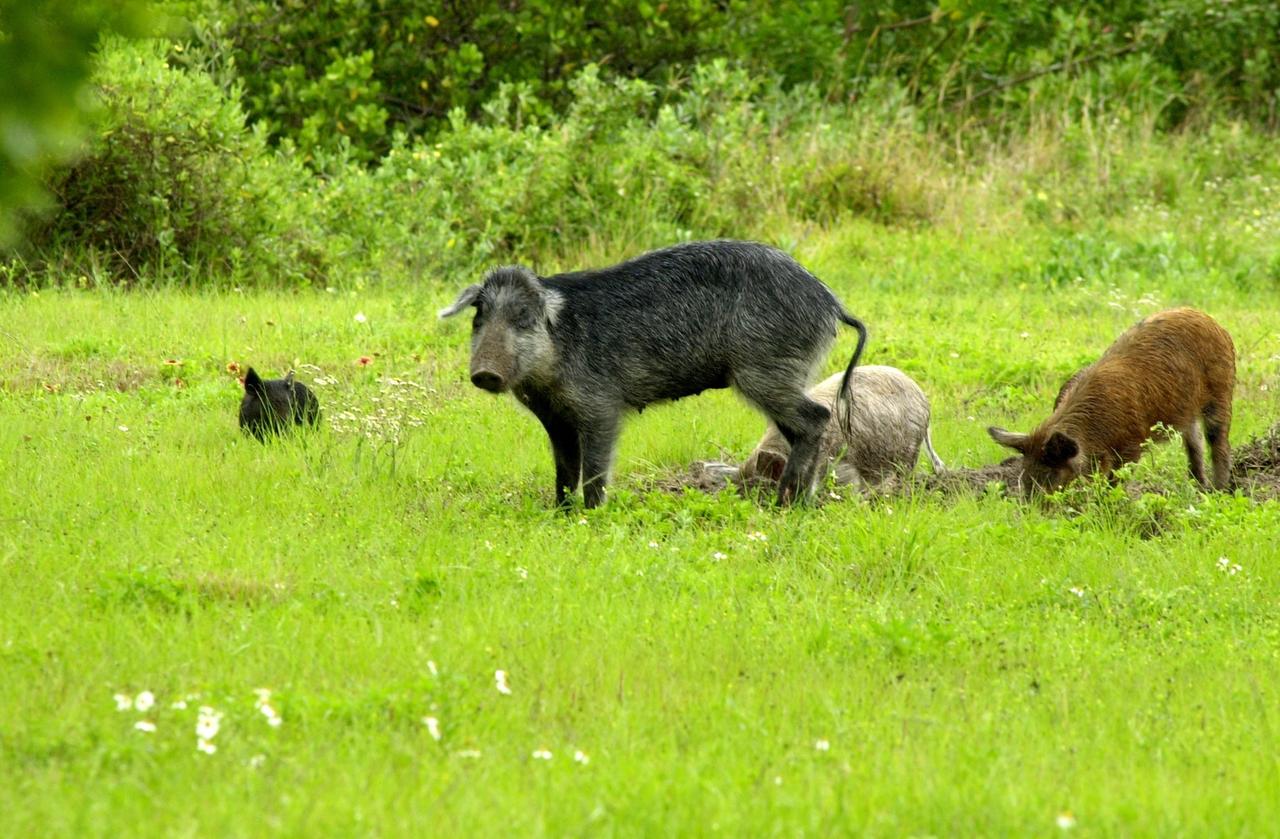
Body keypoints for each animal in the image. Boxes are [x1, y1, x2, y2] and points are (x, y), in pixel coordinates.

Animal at [439, 240, 868, 508]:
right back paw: (796, 501)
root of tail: (832, 303)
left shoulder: (601, 407)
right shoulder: (555, 419)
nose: (485, 372)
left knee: (818, 417)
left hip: (765, 373)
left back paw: (785, 503)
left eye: (523, 318)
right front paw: (560, 511)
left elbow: (594, 469)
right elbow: (565, 470)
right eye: (479, 317)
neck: (547, 378)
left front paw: (590, 514)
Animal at [988, 307, 1235, 496]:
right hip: (1186, 413)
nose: (1033, 512)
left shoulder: (1133, 445)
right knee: (1194, 444)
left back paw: (1220, 491)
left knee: (1219, 443)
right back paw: (1199, 488)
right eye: (1025, 474)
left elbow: (1115, 480)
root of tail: (1210, 320)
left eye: (1054, 474)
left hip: (1222, 393)